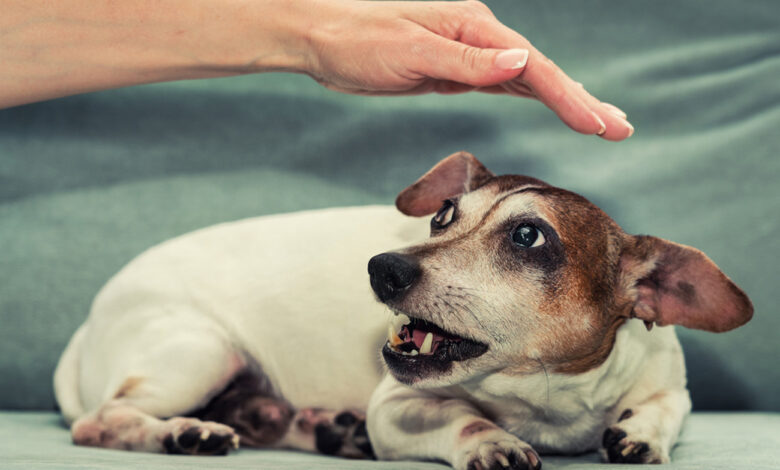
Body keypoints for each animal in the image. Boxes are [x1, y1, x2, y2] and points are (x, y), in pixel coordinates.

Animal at [53, 152, 748, 468]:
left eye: (529, 236)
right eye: (443, 216)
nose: (382, 267)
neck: (544, 399)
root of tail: (86, 326)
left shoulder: (668, 385)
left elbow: (663, 410)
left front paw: (638, 434)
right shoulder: (398, 407)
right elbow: (464, 421)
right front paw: (491, 441)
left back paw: (323, 428)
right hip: (200, 351)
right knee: (103, 421)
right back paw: (184, 432)